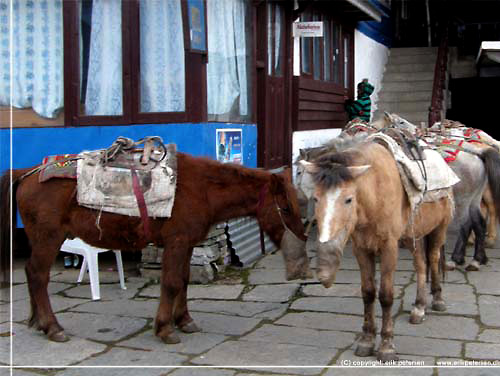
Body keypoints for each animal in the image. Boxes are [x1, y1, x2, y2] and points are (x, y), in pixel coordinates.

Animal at [0, 152, 310, 344]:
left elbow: (183, 281)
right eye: (284, 208)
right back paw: (52, 327)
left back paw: (38, 322)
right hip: (48, 238)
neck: (201, 188)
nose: (301, 259)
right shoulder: (176, 243)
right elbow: (171, 283)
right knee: (38, 275)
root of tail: (27, 173)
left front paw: (184, 320)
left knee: (33, 275)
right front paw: (165, 329)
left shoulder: (186, 245)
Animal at [298, 137, 456, 362]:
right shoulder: (361, 248)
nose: (325, 276)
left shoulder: (389, 247)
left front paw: (387, 346)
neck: (374, 192)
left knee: (433, 258)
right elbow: (368, 292)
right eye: (316, 198)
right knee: (420, 265)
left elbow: (386, 295)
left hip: (439, 228)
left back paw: (438, 299)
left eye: (348, 199)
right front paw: (367, 340)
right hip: (413, 235)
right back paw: (419, 308)